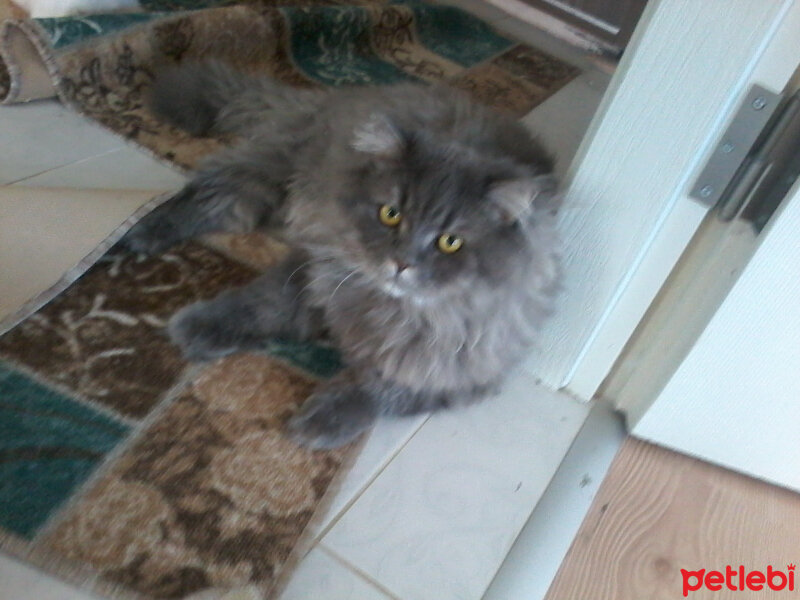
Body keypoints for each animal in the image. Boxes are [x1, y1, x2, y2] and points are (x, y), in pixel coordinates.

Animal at [125, 63, 564, 448]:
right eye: (391, 214)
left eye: (450, 242)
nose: (401, 263)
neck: (390, 308)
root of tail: (339, 95)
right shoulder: (312, 269)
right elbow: (261, 304)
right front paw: (201, 326)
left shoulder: (453, 372)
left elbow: (376, 389)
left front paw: (323, 419)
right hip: (268, 177)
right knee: (202, 195)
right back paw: (139, 235)